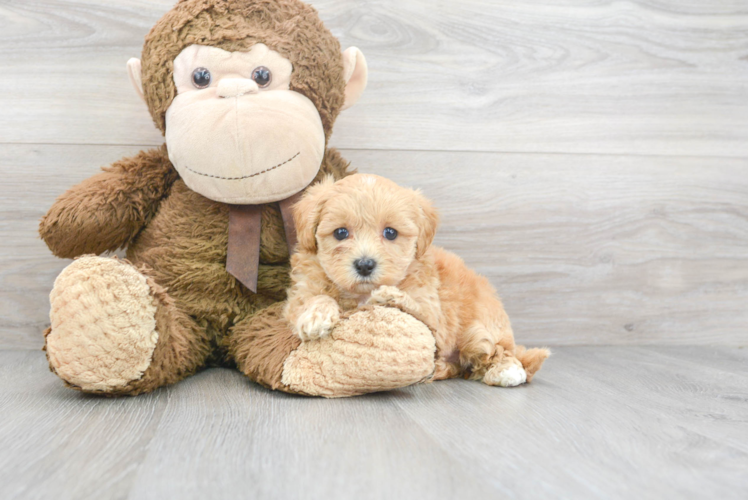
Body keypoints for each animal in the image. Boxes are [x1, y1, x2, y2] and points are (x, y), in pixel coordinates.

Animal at [280, 174, 548, 384]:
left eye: (390, 233)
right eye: (341, 233)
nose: (365, 264)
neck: (360, 294)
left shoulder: (432, 313)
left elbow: (414, 306)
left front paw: (388, 295)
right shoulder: (300, 294)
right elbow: (314, 299)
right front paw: (316, 316)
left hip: (480, 330)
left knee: (499, 350)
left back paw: (507, 370)